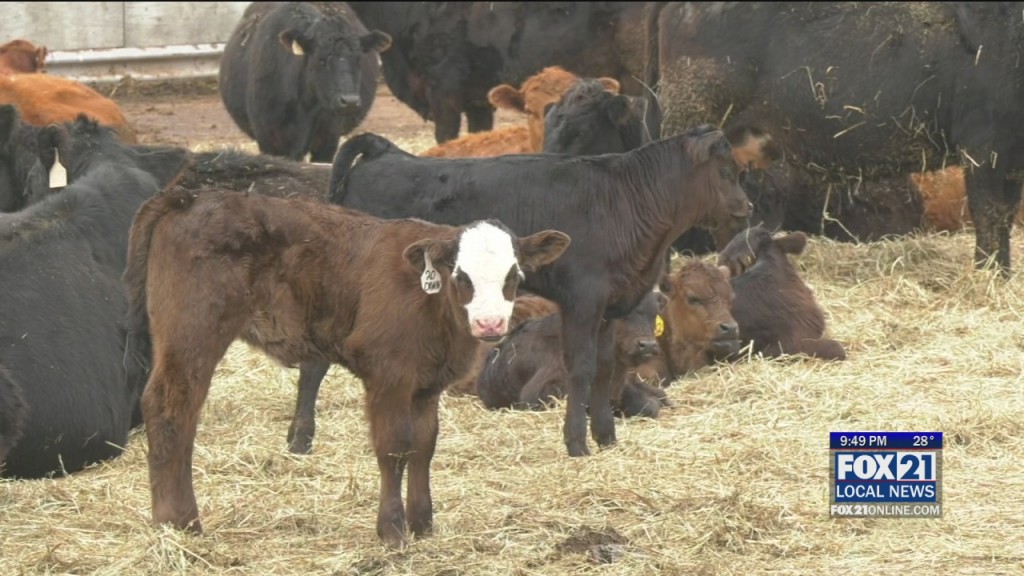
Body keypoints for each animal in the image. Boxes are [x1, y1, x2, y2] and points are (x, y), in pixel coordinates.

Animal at [122, 186, 570, 547]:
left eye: (515, 275)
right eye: (461, 275)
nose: (490, 324)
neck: (432, 303)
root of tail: (190, 198)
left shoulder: (425, 385)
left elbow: (424, 446)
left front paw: (422, 524)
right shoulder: (388, 376)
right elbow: (393, 447)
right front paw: (392, 530)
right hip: (193, 334)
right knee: (171, 409)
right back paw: (179, 523)